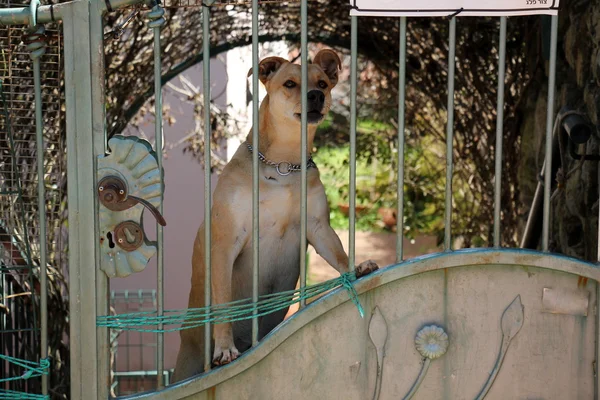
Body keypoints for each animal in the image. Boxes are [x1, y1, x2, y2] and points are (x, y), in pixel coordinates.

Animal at [173, 48, 378, 382]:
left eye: (323, 82)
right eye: (290, 83)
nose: (316, 95)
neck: (283, 164)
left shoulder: (318, 227)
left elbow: (338, 253)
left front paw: (356, 268)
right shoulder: (225, 244)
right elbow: (224, 303)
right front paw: (225, 348)